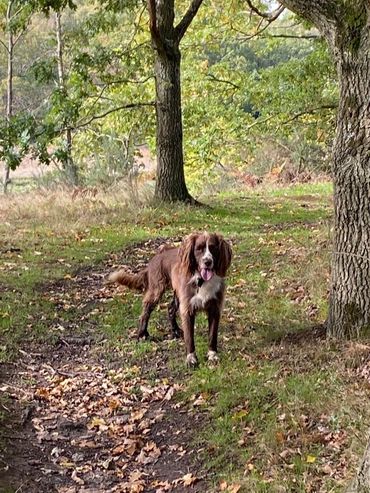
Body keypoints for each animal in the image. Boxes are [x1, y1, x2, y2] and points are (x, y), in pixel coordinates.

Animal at [107, 232, 233, 366]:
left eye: (213, 248)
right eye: (199, 249)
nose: (208, 262)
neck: (202, 281)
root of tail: (156, 257)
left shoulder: (215, 308)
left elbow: (212, 336)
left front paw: (212, 355)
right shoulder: (187, 309)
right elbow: (190, 338)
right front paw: (191, 358)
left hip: (177, 294)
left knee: (170, 308)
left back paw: (176, 330)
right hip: (156, 290)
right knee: (146, 311)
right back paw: (142, 334)